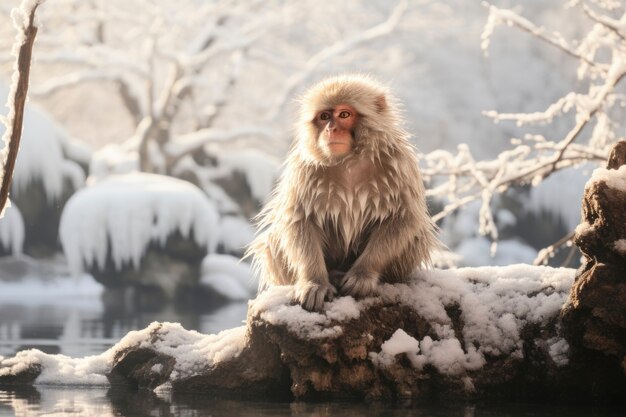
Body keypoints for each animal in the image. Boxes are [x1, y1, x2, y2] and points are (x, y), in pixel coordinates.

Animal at [246, 74, 436, 308]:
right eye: (324, 116)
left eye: (344, 114)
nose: (330, 130)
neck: (350, 160)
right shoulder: (305, 168)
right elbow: (299, 219)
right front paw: (314, 283)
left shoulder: (399, 162)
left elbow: (402, 218)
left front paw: (363, 274)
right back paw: (333, 275)